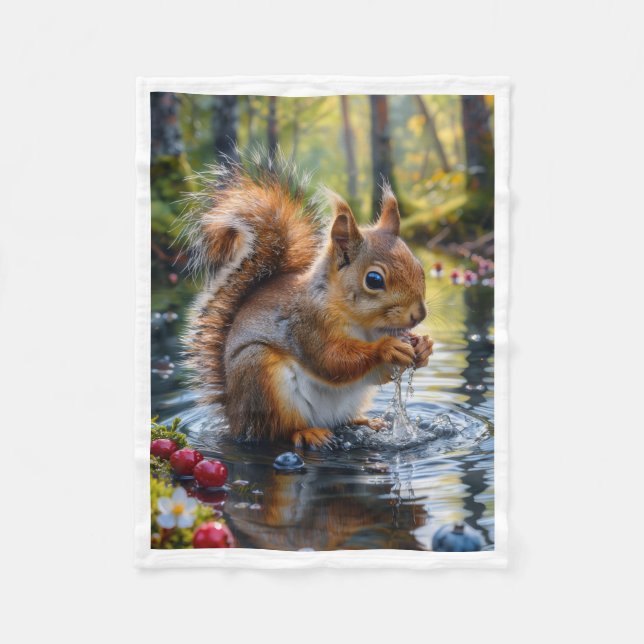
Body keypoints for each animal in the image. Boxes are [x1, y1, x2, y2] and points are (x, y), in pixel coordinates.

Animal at [183, 156, 433, 448]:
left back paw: (367, 422)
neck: (364, 324)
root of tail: (235, 418)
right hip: (261, 377)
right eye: (373, 279)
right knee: (278, 430)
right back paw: (308, 432)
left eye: (419, 267)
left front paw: (424, 347)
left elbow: (376, 374)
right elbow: (332, 361)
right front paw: (386, 348)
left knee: (342, 419)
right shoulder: (306, 324)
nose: (419, 315)